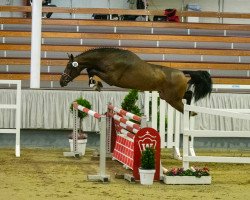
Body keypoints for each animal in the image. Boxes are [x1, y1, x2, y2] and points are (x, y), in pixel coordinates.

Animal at [59, 47, 212, 114]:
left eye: (69, 66)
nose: (61, 82)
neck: (109, 57)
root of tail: (181, 72)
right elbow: (90, 70)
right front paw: (95, 84)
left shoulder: (112, 78)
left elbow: (91, 70)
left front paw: (96, 85)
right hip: (167, 96)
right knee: (188, 95)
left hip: (172, 99)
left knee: (185, 105)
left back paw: (191, 114)